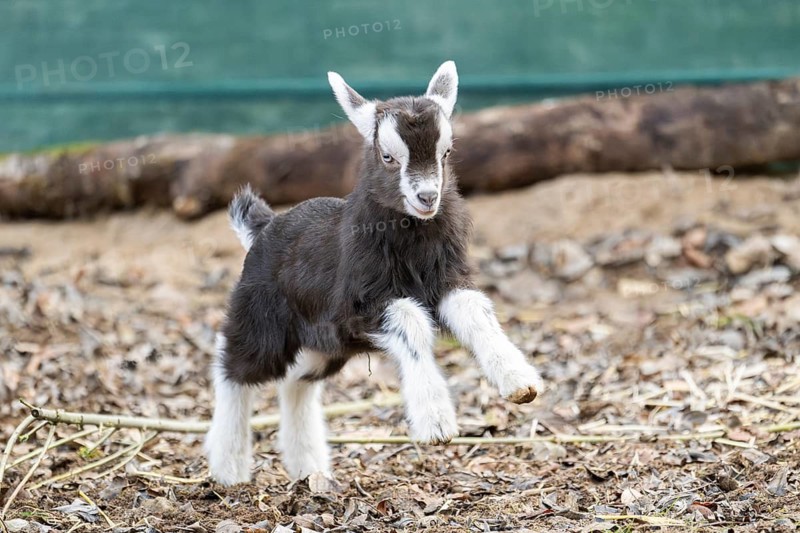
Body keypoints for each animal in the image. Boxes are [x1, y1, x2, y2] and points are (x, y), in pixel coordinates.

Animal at [205, 61, 544, 486]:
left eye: (446, 152)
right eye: (387, 156)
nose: (427, 197)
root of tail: (263, 226)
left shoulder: (448, 282)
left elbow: (474, 310)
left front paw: (519, 382)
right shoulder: (360, 306)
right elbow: (411, 321)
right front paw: (436, 423)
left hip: (323, 346)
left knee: (296, 382)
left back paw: (309, 467)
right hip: (262, 319)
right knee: (233, 366)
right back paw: (229, 468)